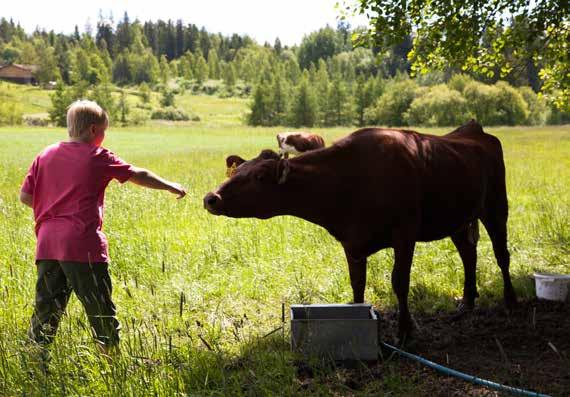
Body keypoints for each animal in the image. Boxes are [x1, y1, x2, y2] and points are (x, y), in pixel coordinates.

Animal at [203, 119, 516, 338]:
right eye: (237, 171)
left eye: (258, 176)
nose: (211, 198)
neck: (347, 182)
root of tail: (473, 129)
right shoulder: (351, 242)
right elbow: (357, 284)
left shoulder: (405, 233)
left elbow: (399, 282)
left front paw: (406, 330)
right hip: (458, 217)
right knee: (468, 254)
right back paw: (467, 301)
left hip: (495, 207)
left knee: (502, 254)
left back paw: (510, 300)